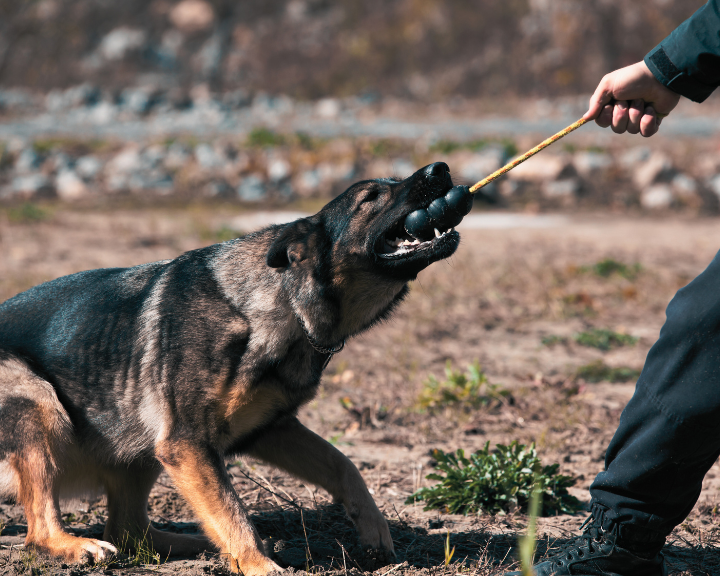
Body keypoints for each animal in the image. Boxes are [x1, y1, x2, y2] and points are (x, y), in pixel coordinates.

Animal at [0, 161, 462, 572]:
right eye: (372, 196)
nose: (441, 169)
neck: (281, 301)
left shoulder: (270, 429)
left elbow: (343, 465)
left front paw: (373, 529)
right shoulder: (188, 443)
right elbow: (232, 511)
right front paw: (260, 566)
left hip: (138, 436)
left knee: (130, 531)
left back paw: (196, 545)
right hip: (38, 399)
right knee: (41, 533)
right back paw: (75, 545)